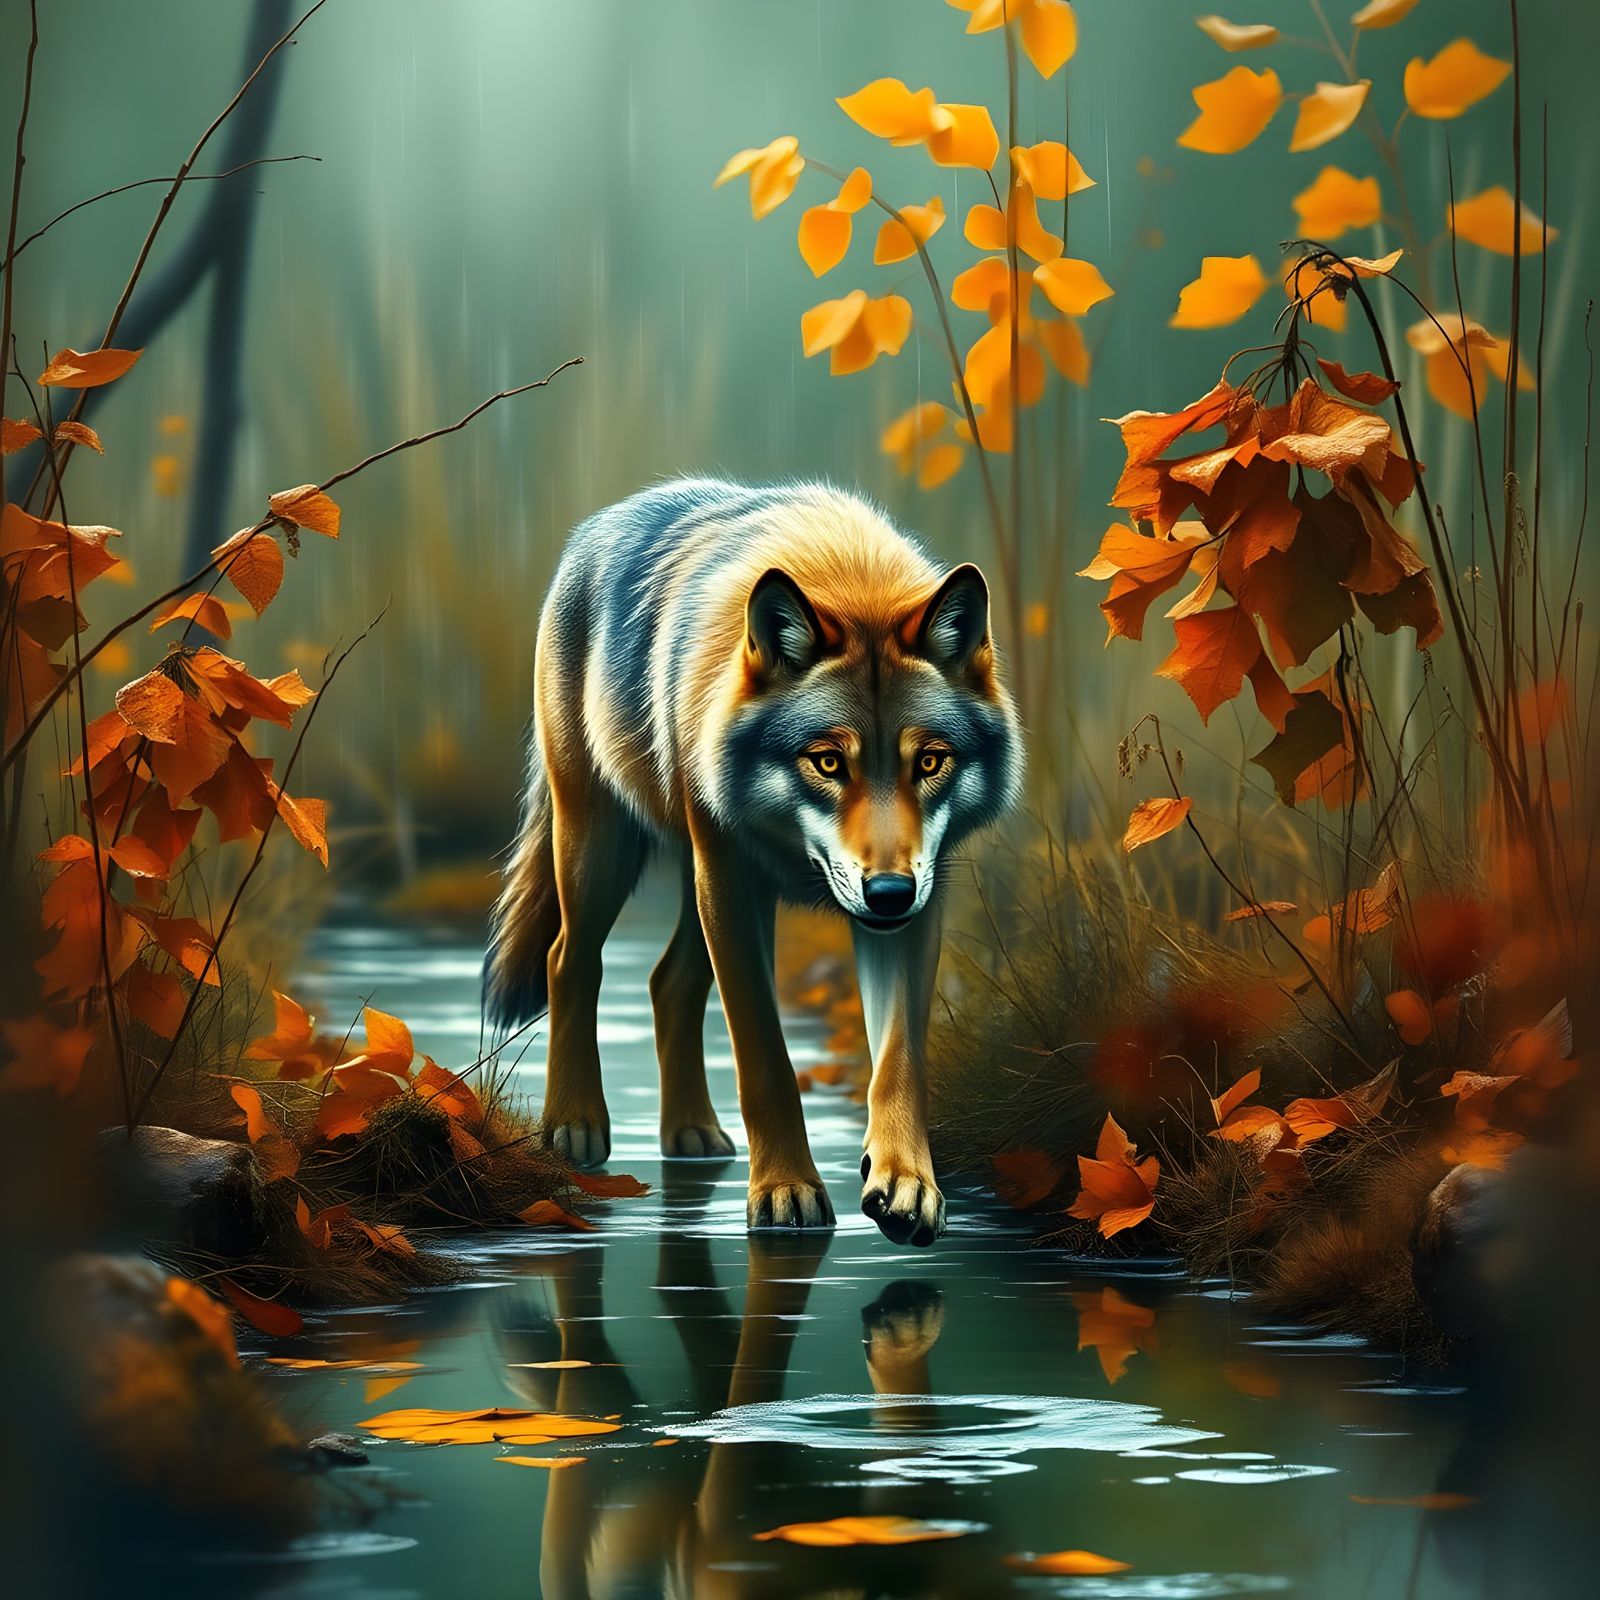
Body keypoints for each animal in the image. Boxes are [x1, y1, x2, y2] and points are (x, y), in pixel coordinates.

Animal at [483, 478, 1022, 1244]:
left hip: (694, 880)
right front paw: (786, 1191)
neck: (847, 576)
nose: (888, 892)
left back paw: (691, 1133)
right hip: (606, 846)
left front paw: (907, 1184)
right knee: (568, 958)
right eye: (827, 761)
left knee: (668, 980)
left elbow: (899, 1059)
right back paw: (574, 1125)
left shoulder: (922, 901)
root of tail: (599, 524)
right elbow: (765, 1057)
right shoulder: (734, 881)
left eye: (929, 762)